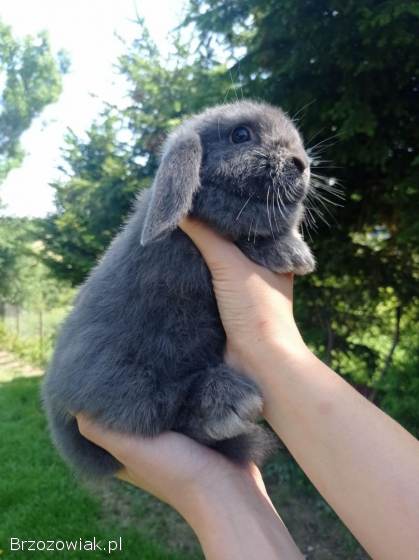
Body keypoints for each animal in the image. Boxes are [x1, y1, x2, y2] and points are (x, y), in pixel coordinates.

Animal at [41, 99, 316, 476]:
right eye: (240, 135)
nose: (302, 163)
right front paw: (293, 252)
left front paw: (294, 252)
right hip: (120, 378)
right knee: (161, 412)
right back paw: (227, 403)